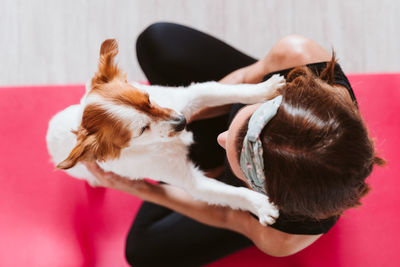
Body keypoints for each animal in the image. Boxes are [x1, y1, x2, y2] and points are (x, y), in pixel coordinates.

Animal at [46, 38, 284, 226]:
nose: (182, 121)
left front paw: (265, 89)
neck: (162, 142)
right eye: (142, 129)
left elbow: (232, 91)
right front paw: (260, 206)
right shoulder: (191, 182)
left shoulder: (190, 96)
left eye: (148, 99)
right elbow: (233, 193)